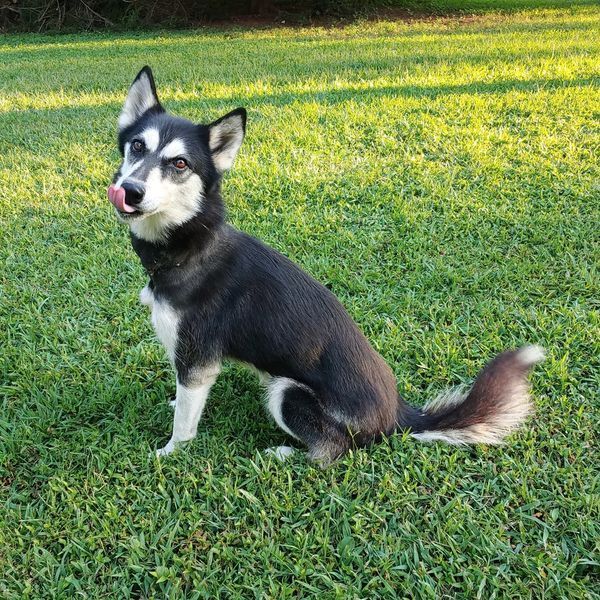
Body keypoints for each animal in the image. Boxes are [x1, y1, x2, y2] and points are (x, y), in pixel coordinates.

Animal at [108, 67, 544, 464]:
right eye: (137, 146)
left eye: (180, 164)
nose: (130, 190)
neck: (192, 243)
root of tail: (399, 415)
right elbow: (182, 401)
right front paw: (172, 408)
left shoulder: (197, 360)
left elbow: (185, 423)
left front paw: (169, 454)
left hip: (287, 392)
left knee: (330, 452)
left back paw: (284, 454)